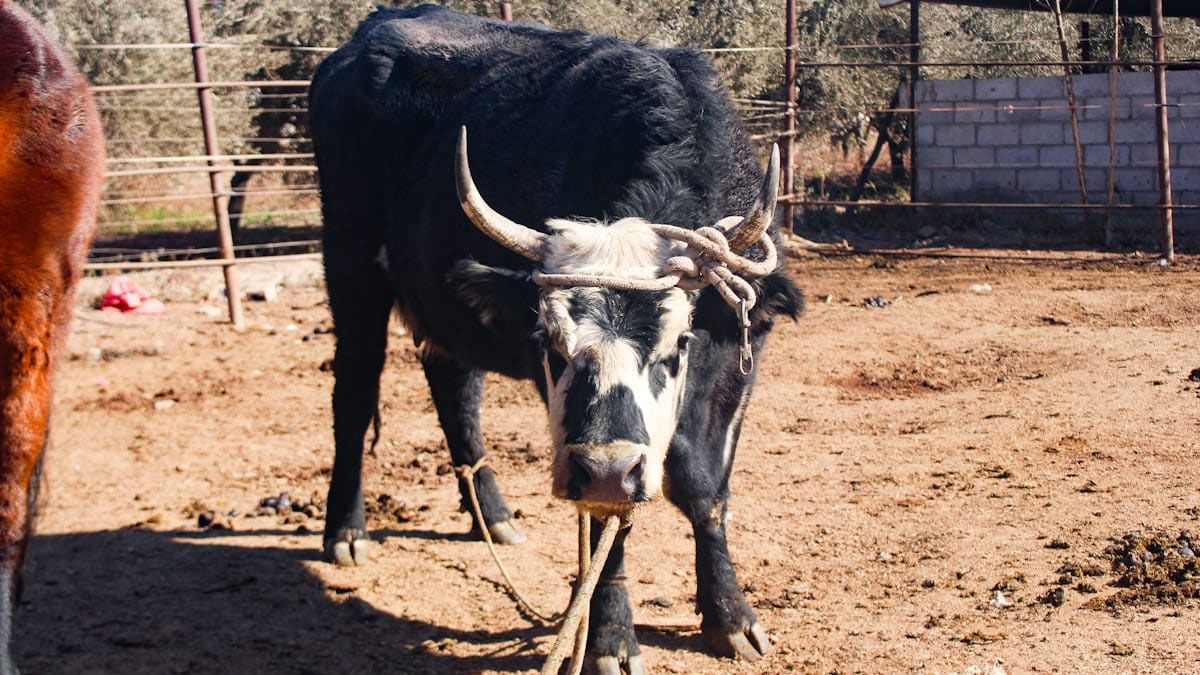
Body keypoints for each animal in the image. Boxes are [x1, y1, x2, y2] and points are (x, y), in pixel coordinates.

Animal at [310, 5, 802, 672]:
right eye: (551, 345)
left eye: (680, 345)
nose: (608, 467)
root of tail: (370, 31)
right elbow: (606, 518)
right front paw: (611, 636)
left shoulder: (735, 369)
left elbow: (704, 483)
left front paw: (731, 616)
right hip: (351, 267)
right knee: (356, 395)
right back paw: (346, 530)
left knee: (455, 391)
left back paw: (492, 515)